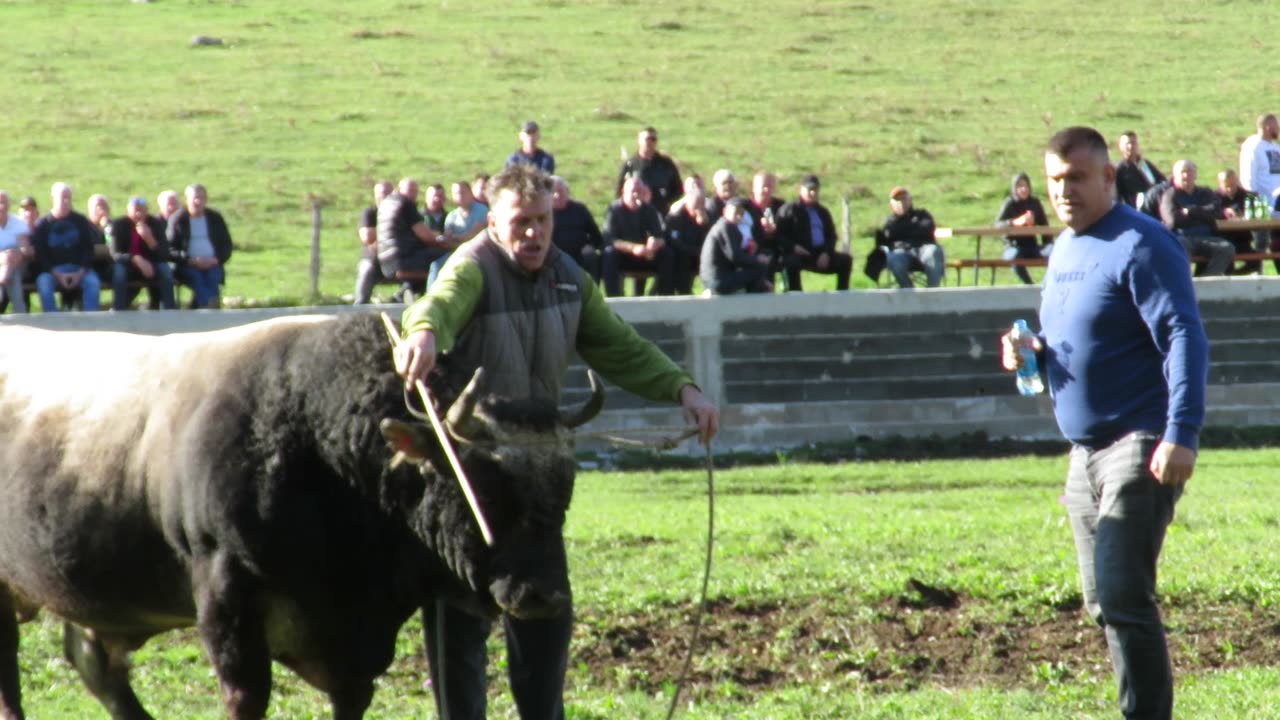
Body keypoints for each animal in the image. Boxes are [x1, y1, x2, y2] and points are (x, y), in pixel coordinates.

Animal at [0, 313, 604, 717]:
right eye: (481, 485)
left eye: (564, 492)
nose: (543, 596)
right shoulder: (226, 595)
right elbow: (246, 696)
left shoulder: (354, 647)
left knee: (94, 663)